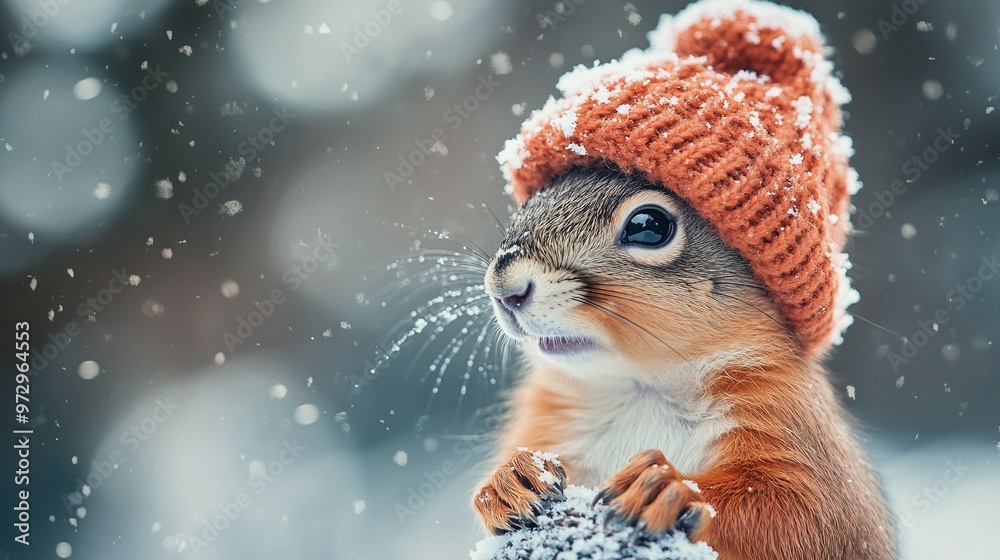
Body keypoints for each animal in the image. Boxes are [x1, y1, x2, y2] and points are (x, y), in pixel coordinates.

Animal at [470, 1, 896, 558]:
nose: (506, 290)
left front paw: (668, 487)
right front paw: (508, 481)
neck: (641, 386)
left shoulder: (798, 432)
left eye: (650, 226)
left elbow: (798, 515)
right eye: (537, 194)